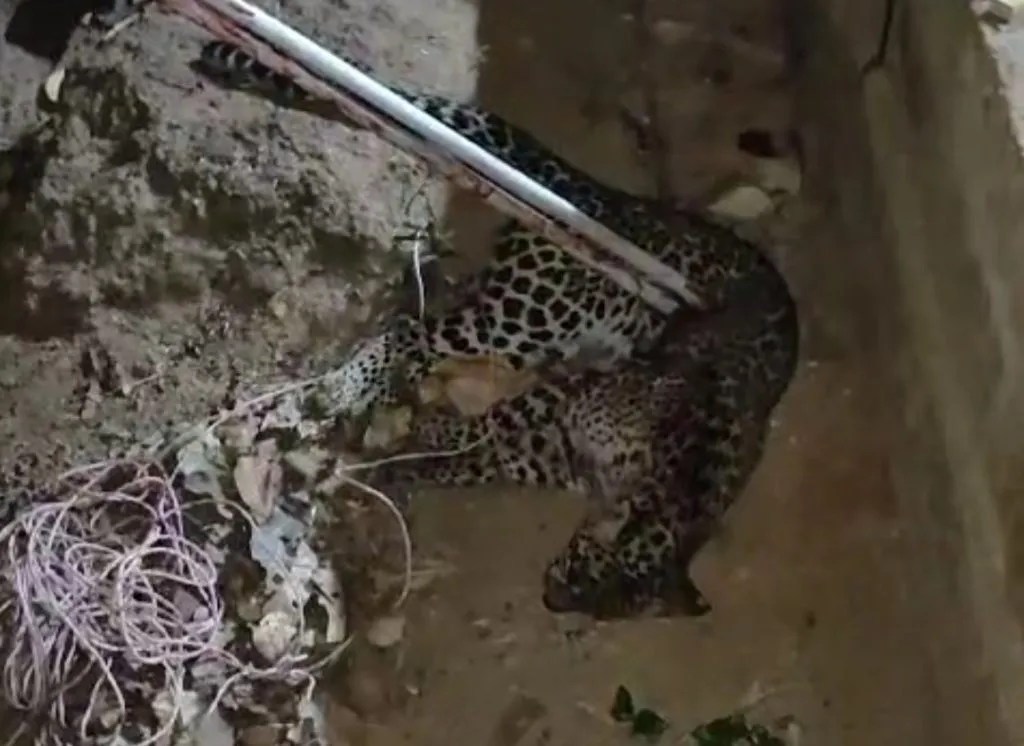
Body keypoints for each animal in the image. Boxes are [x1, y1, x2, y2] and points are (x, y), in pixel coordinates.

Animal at [191, 40, 801, 620]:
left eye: (601, 611)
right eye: (582, 563)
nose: (551, 601)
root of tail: (597, 196)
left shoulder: (548, 450)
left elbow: (478, 461)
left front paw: (408, 464)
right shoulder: (578, 393)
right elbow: (494, 421)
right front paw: (435, 432)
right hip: (533, 314)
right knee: (413, 331)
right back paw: (345, 388)